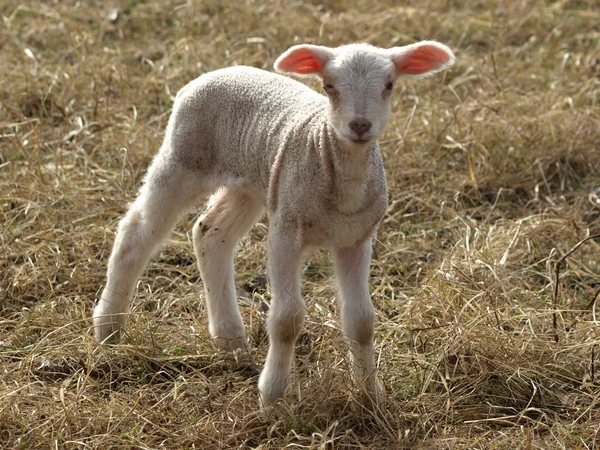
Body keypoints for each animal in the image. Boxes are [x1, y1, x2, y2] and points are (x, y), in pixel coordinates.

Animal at [91, 41, 452, 408]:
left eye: (389, 85)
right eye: (329, 86)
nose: (360, 125)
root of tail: (216, 72)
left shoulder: (357, 239)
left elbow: (361, 321)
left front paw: (370, 393)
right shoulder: (286, 230)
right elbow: (286, 320)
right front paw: (272, 395)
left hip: (250, 184)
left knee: (210, 235)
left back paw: (230, 339)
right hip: (182, 158)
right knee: (136, 232)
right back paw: (108, 328)